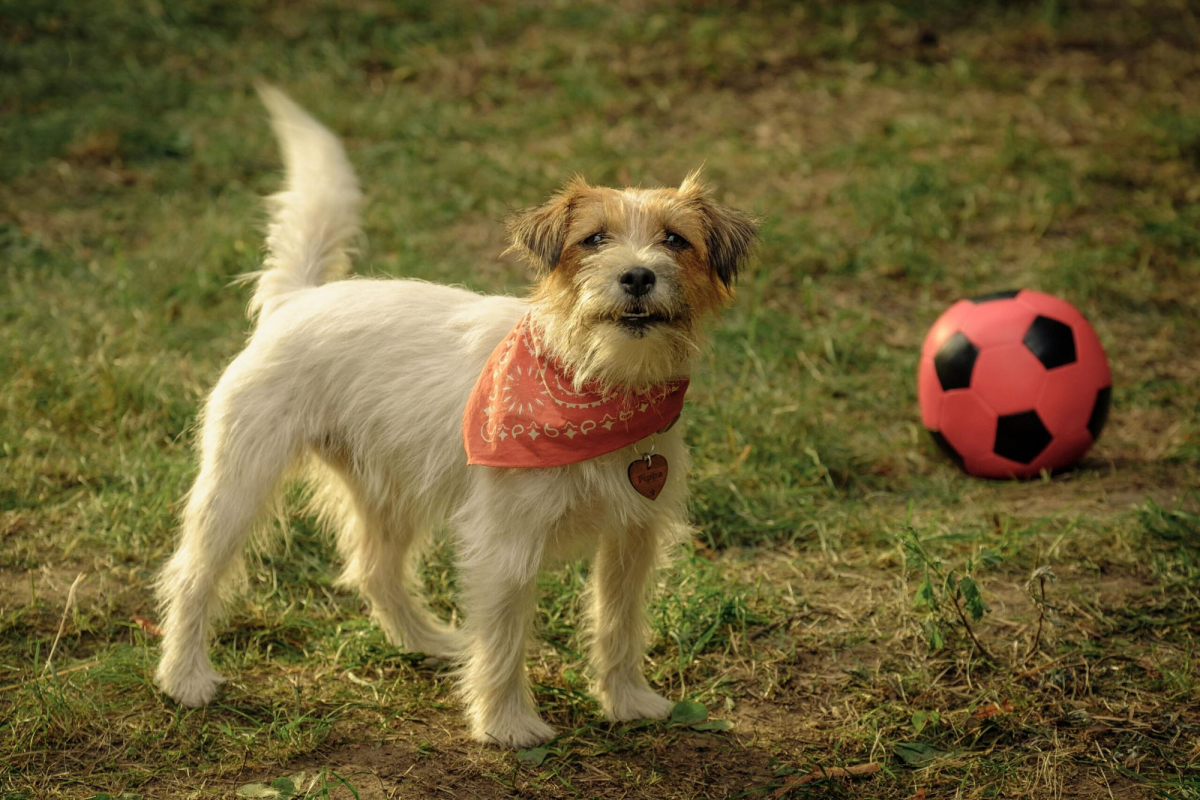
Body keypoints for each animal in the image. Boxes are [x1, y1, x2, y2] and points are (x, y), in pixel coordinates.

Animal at [154, 84, 753, 748]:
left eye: (675, 239)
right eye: (594, 239)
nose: (638, 275)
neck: (595, 380)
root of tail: (300, 298)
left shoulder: (632, 537)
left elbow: (617, 625)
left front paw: (627, 701)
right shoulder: (504, 545)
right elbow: (504, 642)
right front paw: (507, 725)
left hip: (386, 488)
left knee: (374, 569)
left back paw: (428, 642)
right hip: (239, 483)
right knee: (190, 574)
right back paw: (184, 677)